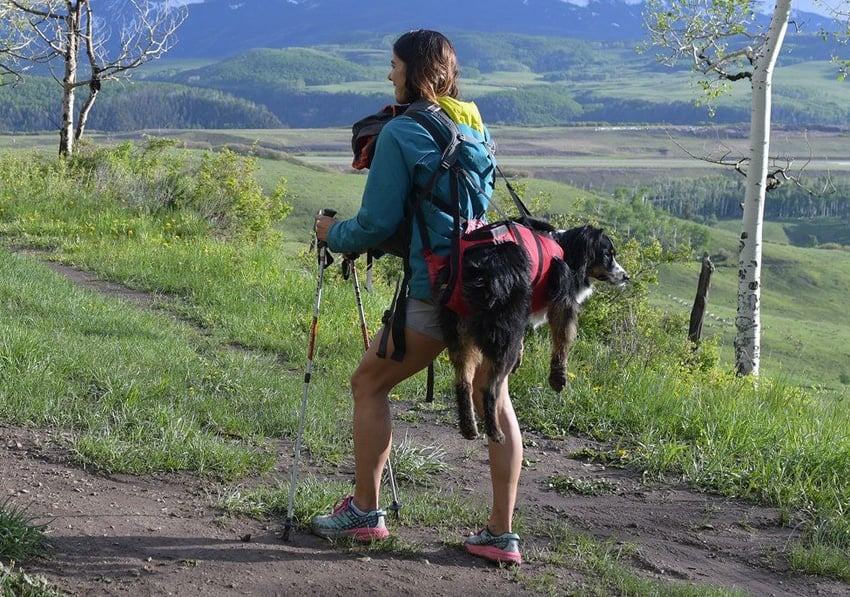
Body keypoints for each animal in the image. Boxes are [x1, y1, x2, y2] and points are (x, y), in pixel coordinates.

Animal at [438, 219, 628, 442]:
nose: (626, 276)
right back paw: (495, 431)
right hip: (503, 334)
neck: (566, 249)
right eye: (607, 254)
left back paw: (468, 426)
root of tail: (476, 270)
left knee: (463, 382)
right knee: (488, 389)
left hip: (459, 329)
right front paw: (558, 378)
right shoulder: (564, 301)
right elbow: (563, 340)